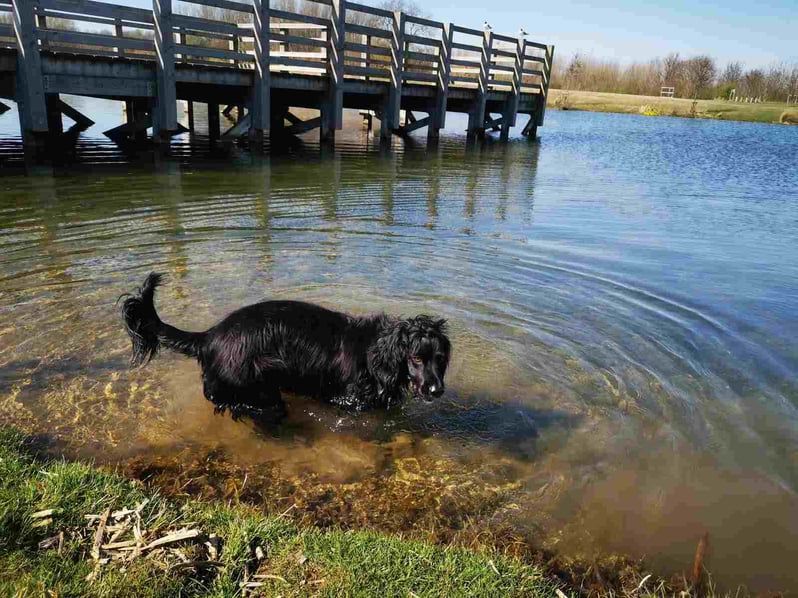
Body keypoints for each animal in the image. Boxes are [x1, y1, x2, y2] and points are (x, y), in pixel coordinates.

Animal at [122, 276, 454, 422]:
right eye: (416, 358)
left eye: (439, 359)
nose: (436, 390)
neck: (374, 351)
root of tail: (210, 336)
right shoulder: (349, 400)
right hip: (254, 385)